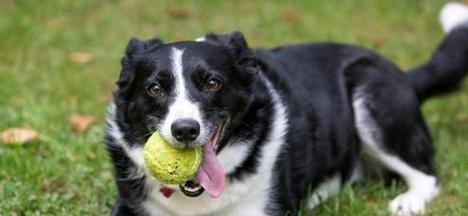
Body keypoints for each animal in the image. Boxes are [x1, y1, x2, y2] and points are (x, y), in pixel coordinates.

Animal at [106, 3, 468, 216]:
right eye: (154, 88)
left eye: (212, 83)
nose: (184, 130)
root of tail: (403, 75)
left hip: (371, 93)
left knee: (428, 175)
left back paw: (409, 200)